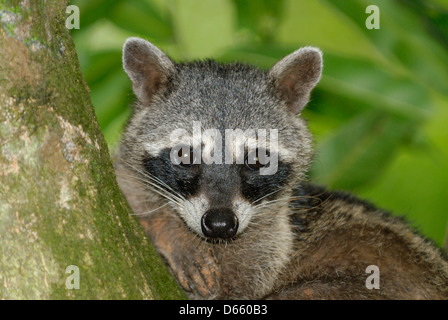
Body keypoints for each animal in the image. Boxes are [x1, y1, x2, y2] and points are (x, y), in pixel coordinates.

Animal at [114, 37, 448, 300]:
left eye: (257, 160)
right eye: (185, 155)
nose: (221, 224)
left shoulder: (273, 240)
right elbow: (123, 178)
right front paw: (167, 229)